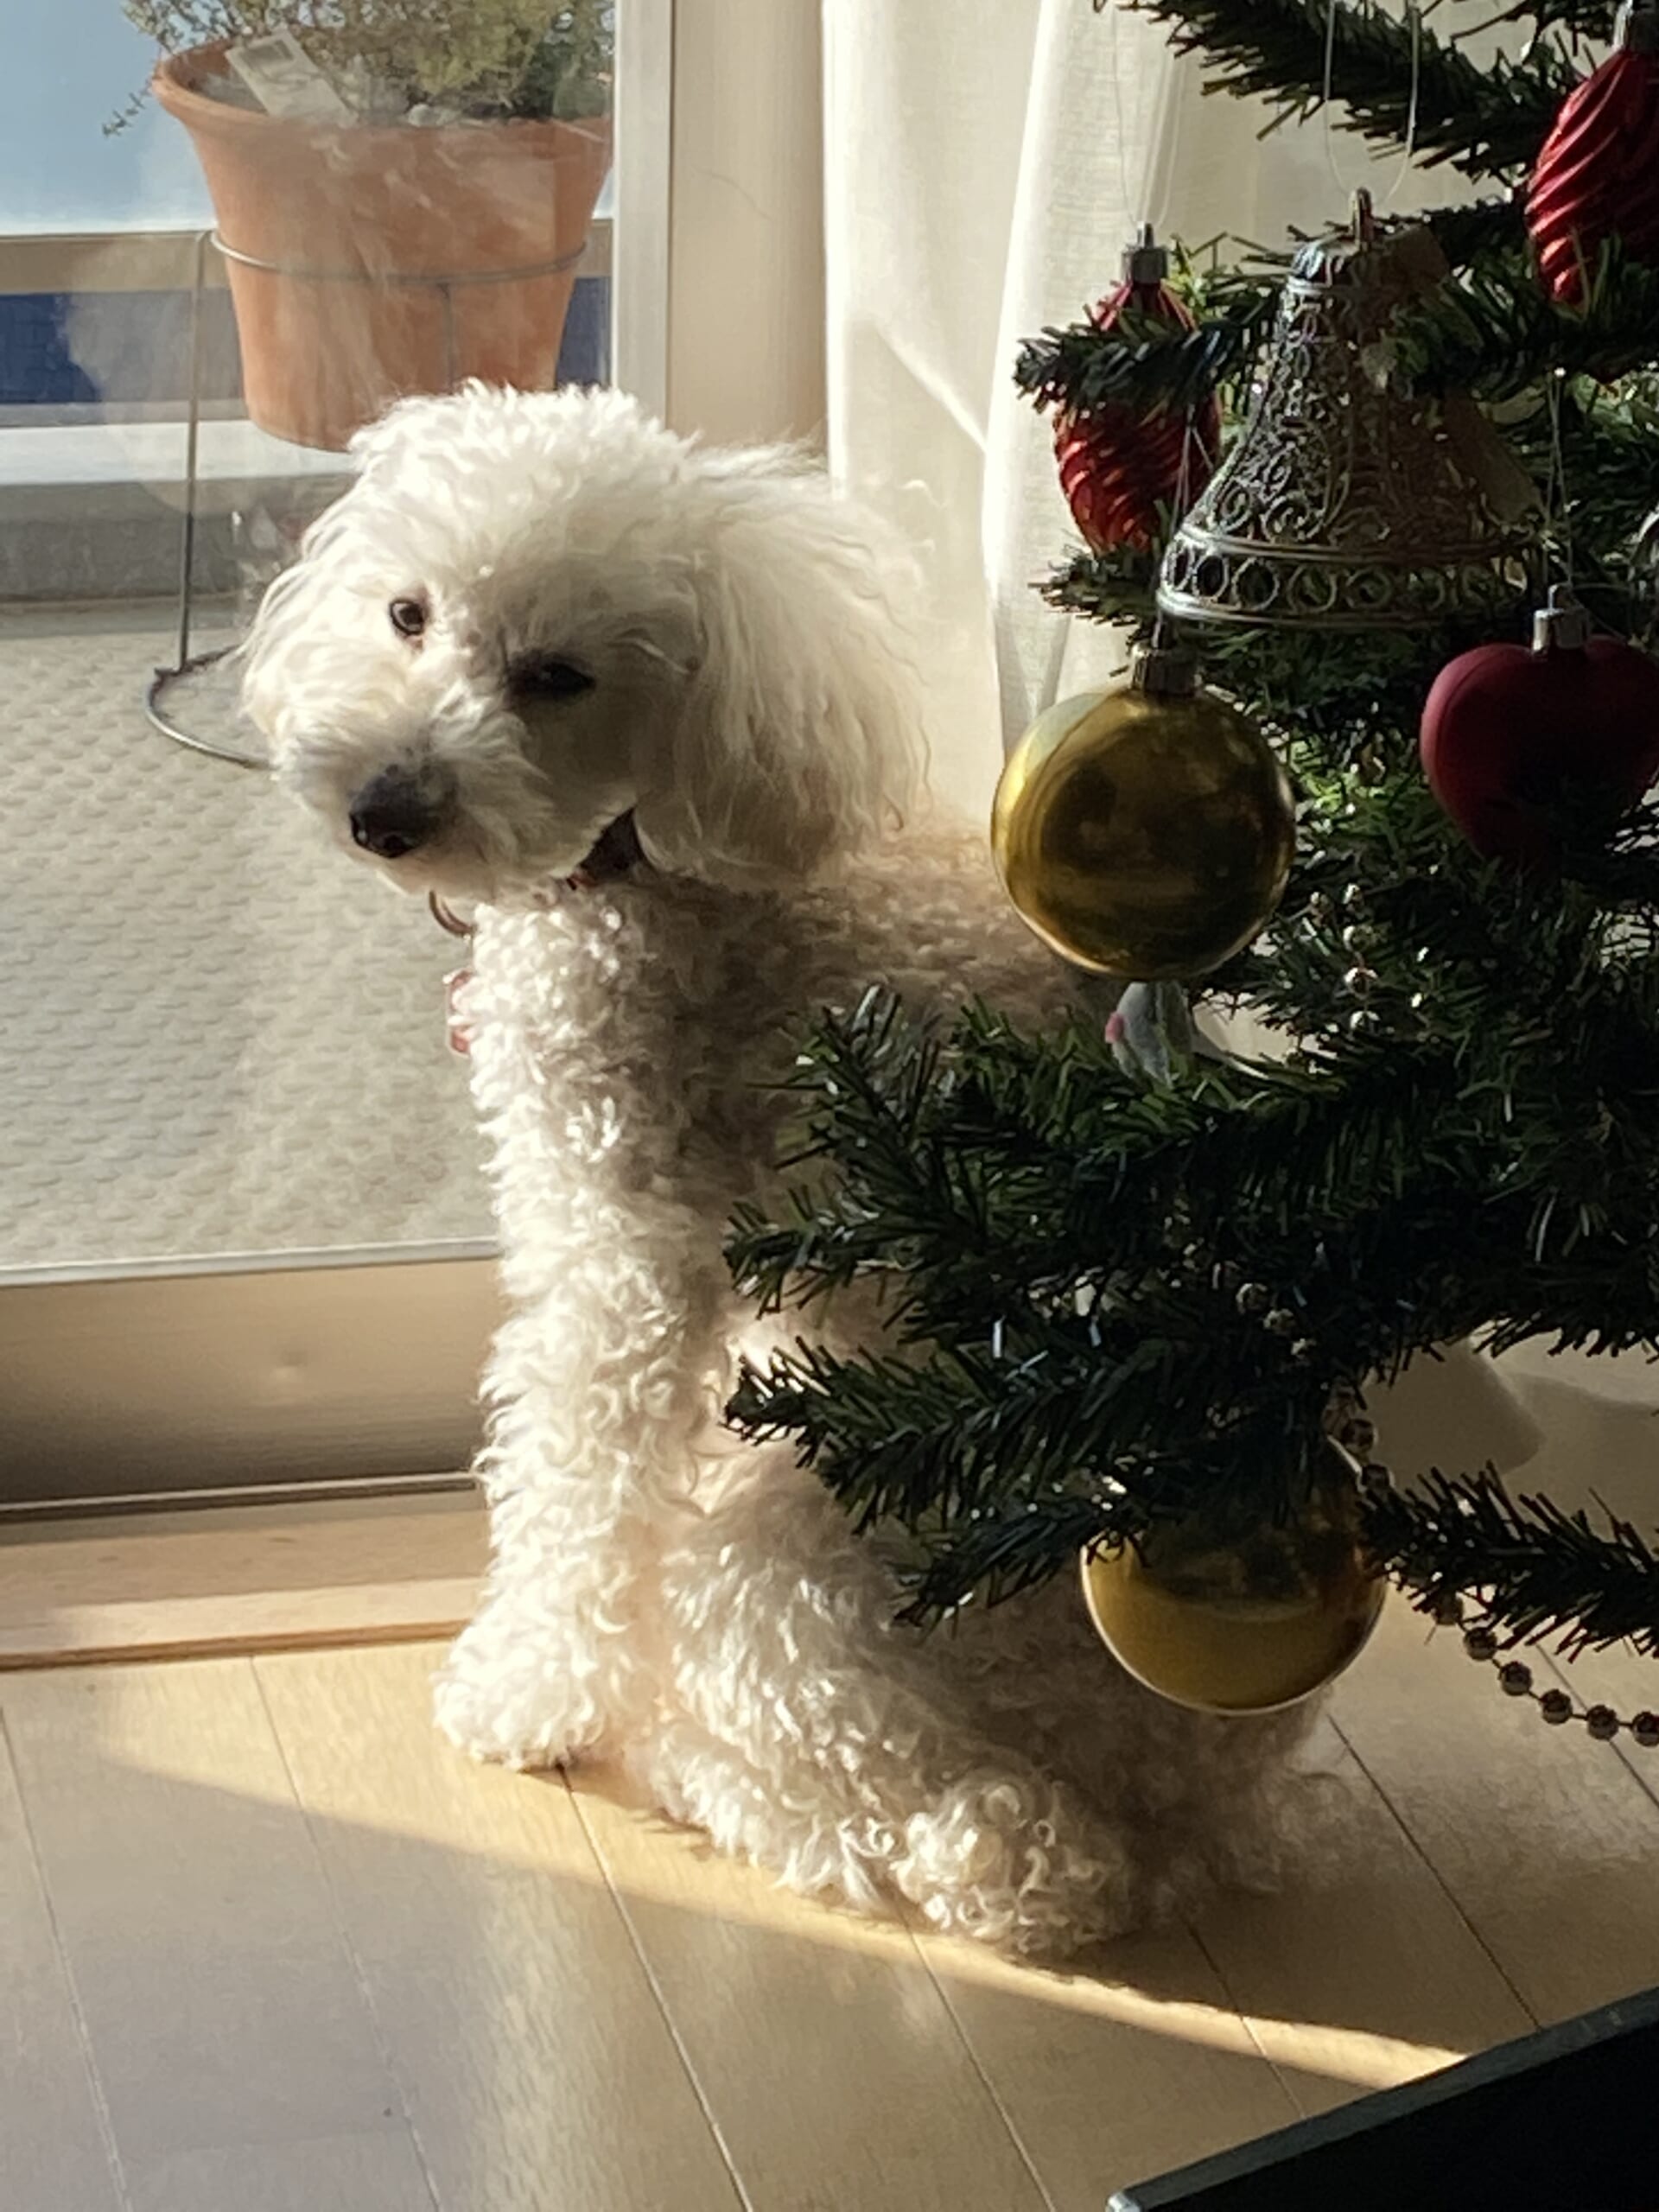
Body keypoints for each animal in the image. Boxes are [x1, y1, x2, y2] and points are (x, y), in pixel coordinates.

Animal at [242, 382, 1304, 1957]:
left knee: (917, 1809)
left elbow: (572, 1490)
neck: (646, 866)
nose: (383, 808)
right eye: (406, 613)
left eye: (558, 676)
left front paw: (524, 1693)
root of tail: (1188, 1813)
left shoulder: (628, 1258)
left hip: (803, 1538)